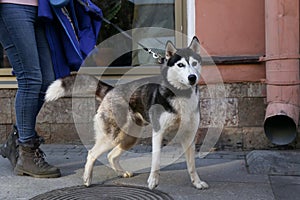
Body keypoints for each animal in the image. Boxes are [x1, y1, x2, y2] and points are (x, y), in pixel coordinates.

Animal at [45, 36, 209, 190]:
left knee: (111, 155)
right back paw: (87, 179)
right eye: (180, 65)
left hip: (129, 137)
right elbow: (155, 162)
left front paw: (197, 183)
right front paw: (152, 181)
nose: (192, 78)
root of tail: (111, 90)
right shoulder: (158, 133)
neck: (181, 96)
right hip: (112, 137)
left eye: (194, 63)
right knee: (92, 153)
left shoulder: (189, 136)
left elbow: (192, 165)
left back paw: (121, 172)